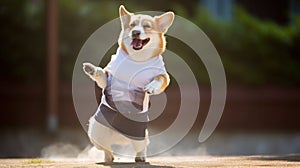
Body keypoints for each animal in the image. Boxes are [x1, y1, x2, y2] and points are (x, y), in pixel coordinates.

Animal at [82, 5, 175, 163]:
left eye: (146, 26)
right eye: (132, 25)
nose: (135, 32)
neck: (137, 59)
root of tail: (121, 138)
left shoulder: (163, 75)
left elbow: (158, 80)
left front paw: (151, 87)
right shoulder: (108, 78)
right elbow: (101, 74)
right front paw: (92, 69)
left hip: (140, 136)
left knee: (142, 147)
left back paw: (141, 157)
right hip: (95, 132)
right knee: (107, 149)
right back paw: (108, 158)